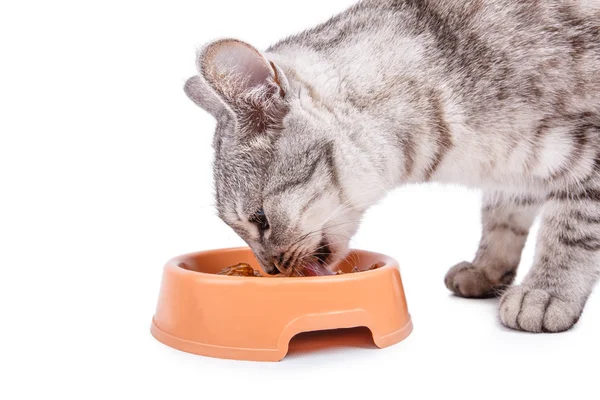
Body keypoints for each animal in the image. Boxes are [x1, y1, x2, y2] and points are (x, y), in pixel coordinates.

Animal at [183, 0, 600, 332]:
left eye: (260, 219)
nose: (269, 270)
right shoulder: (512, 175)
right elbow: (502, 218)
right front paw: (487, 269)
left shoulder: (586, 156)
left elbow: (569, 233)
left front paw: (545, 292)